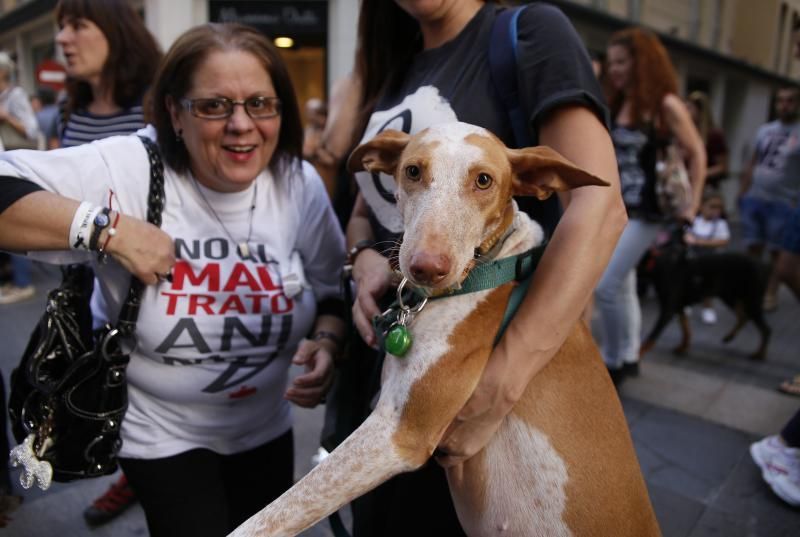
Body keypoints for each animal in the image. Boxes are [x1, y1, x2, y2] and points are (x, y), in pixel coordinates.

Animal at [228, 122, 660, 536]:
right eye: (413, 171)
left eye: (484, 180)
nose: (427, 267)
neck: (490, 267)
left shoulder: (398, 434)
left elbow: (267, 517)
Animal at [636, 222, 768, 360]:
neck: (656, 262)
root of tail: (763, 265)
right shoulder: (679, 306)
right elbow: (686, 328)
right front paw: (683, 347)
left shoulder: (668, 309)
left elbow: (651, 338)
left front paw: (638, 354)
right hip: (730, 296)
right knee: (743, 317)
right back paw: (729, 337)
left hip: (751, 300)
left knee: (766, 329)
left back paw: (760, 353)